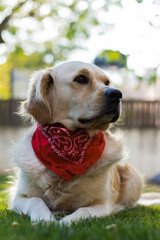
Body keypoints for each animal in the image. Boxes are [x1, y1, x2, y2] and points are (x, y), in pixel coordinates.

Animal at [11, 60, 143, 225]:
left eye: (106, 82)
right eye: (81, 79)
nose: (117, 94)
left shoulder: (103, 204)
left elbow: (83, 210)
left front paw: (64, 223)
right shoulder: (19, 198)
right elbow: (35, 201)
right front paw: (46, 220)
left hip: (132, 175)